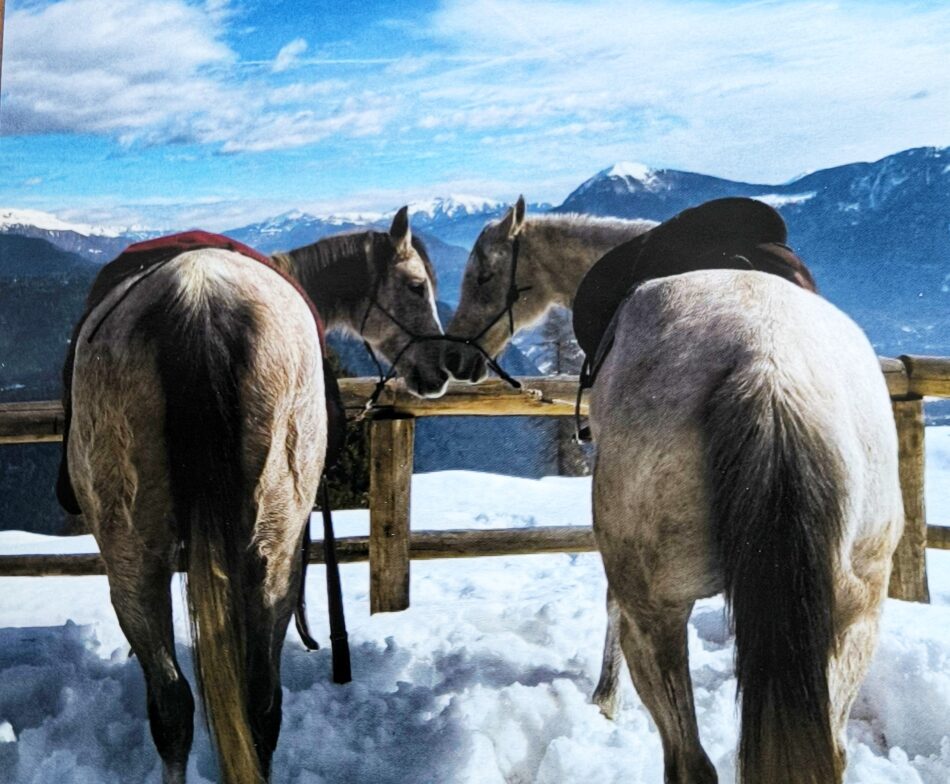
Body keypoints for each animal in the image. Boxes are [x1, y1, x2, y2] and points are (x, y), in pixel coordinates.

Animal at [62, 207, 443, 784]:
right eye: (417, 286)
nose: (444, 369)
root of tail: (196, 300)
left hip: (134, 551)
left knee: (177, 704)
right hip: (275, 553)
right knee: (259, 701)